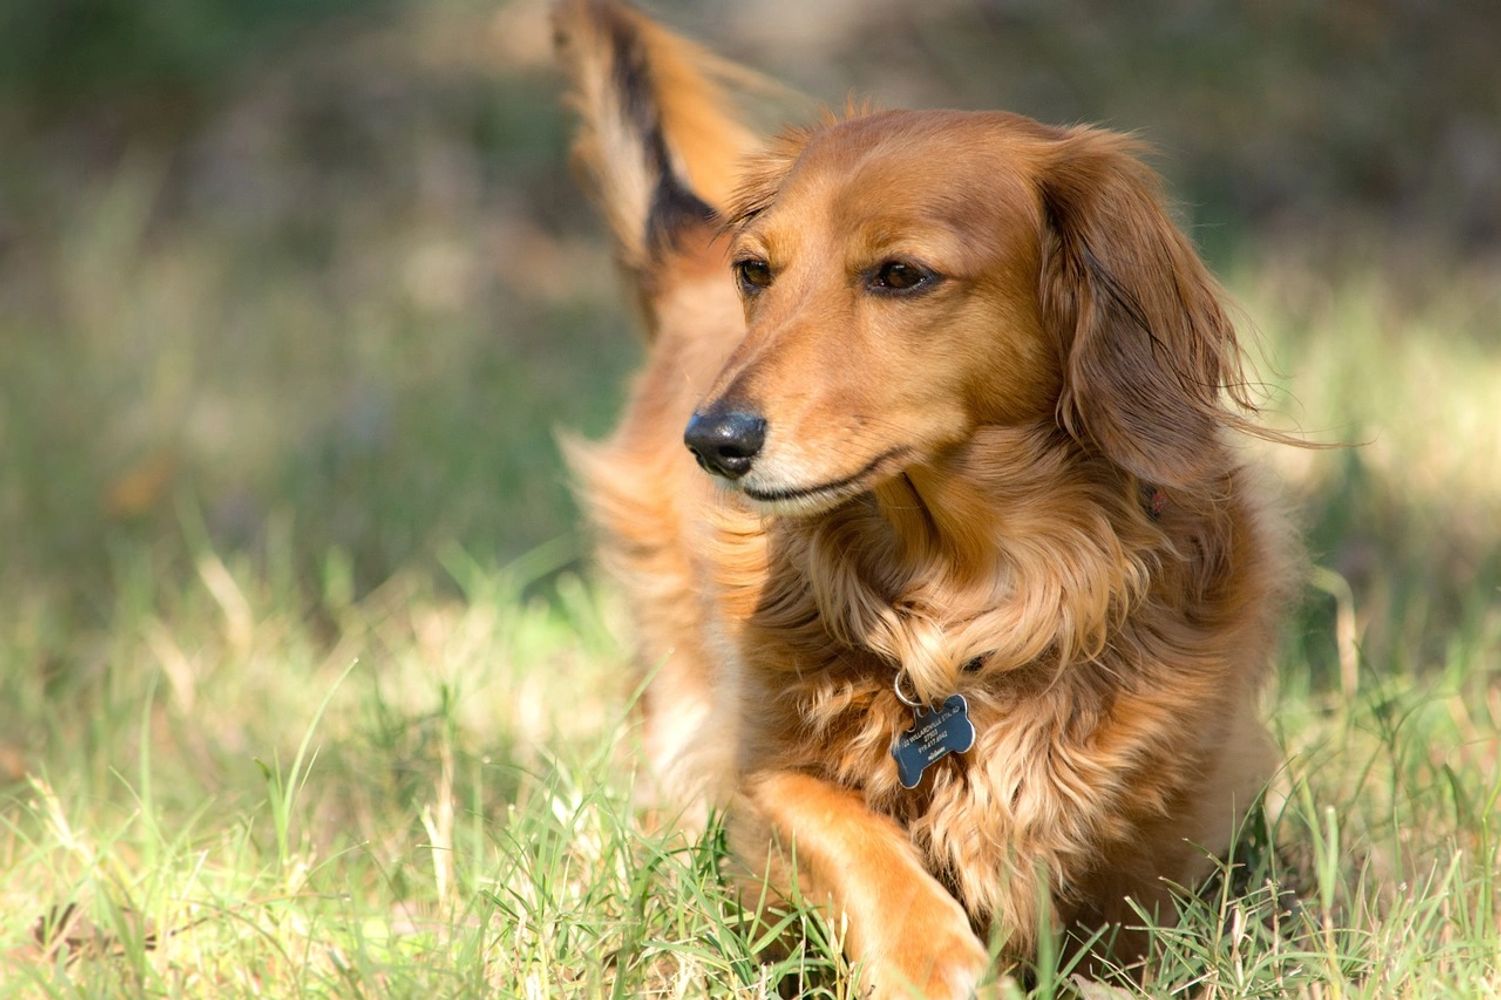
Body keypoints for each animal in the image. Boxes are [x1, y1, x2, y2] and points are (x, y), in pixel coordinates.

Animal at [555, 5, 1302, 990]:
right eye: (754, 271)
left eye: (900, 275)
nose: (712, 440)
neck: (972, 599)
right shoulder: (764, 769)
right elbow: (845, 831)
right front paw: (931, 960)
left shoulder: (1167, 821)